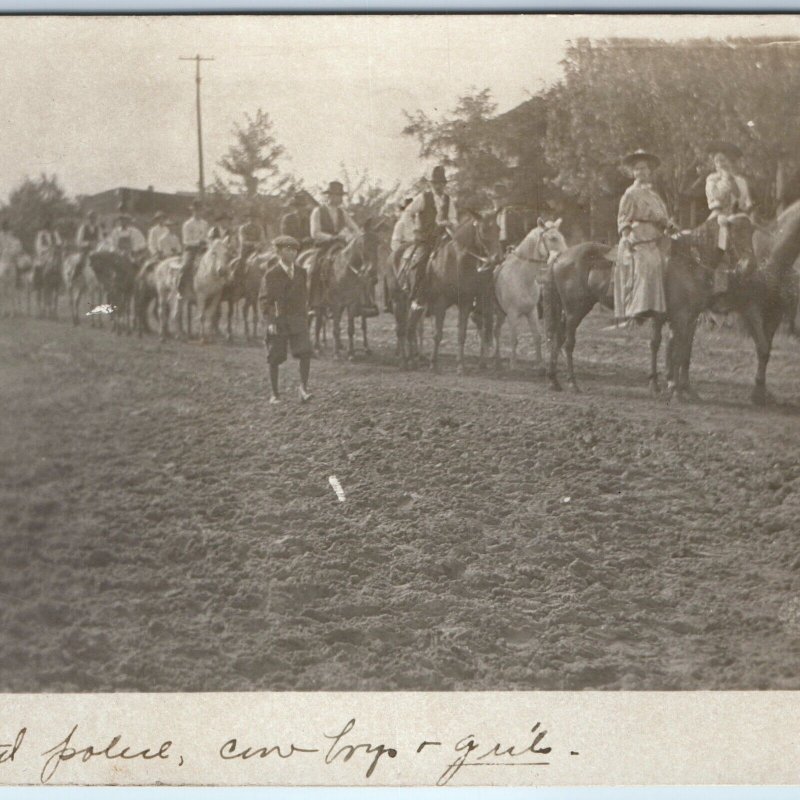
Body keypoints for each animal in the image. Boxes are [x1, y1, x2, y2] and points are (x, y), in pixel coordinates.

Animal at [410, 211, 496, 376]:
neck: (457, 261)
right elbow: (437, 334)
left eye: (498, 229)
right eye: (483, 230)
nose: (497, 258)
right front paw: (433, 364)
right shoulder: (440, 302)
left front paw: (460, 365)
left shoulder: (465, 302)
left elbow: (462, 334)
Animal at [494, 217, 568, 370]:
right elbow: (514, 339)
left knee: (495, 331)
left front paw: (539, 363)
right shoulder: (512, 314)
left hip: (500, 314)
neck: (522, 278)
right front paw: (513, 364)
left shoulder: (531, 312)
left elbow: (537, 337)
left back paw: (496, 358)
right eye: (553, 238)